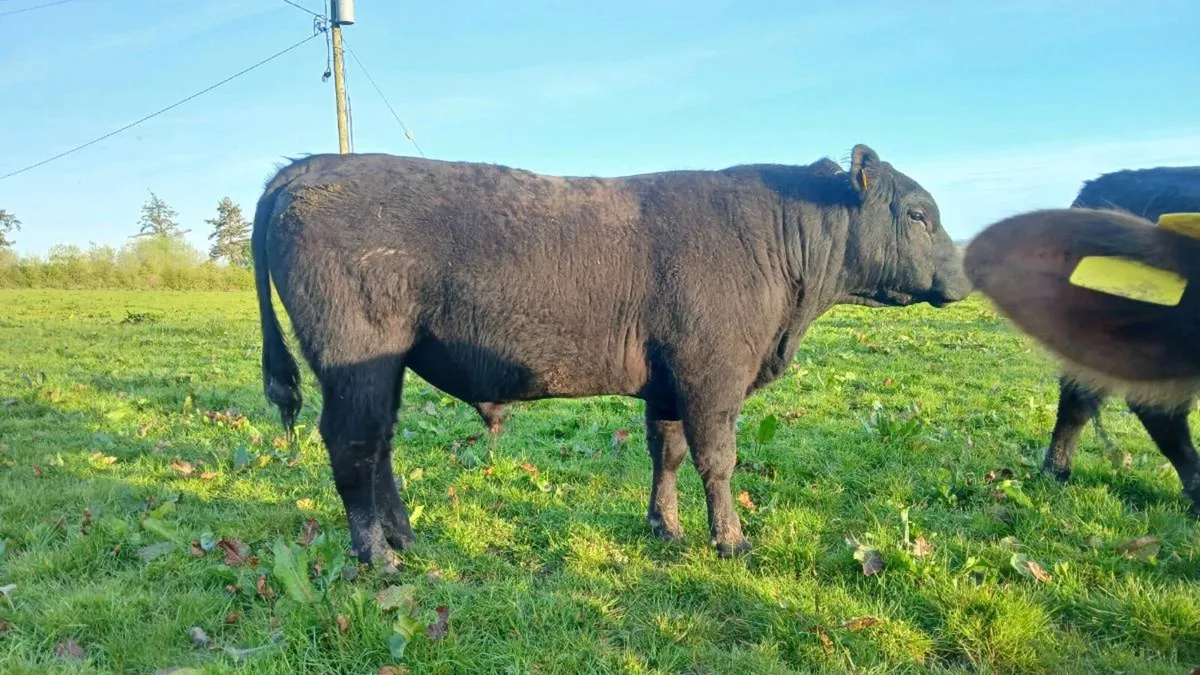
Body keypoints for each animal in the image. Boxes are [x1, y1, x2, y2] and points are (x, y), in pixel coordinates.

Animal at [251, 144, 972, 564]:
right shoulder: (713, 375)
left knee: (379, 448)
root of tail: (311, 166)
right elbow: (718, 459)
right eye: (917, 213)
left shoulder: (670, 383)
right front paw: (731, 540)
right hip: (358, 361)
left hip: (386, 366)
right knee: (354, 446)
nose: (966, 277)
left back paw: (405, 536)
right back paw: (378, 556)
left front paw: (666, 527)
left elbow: (667, 452)